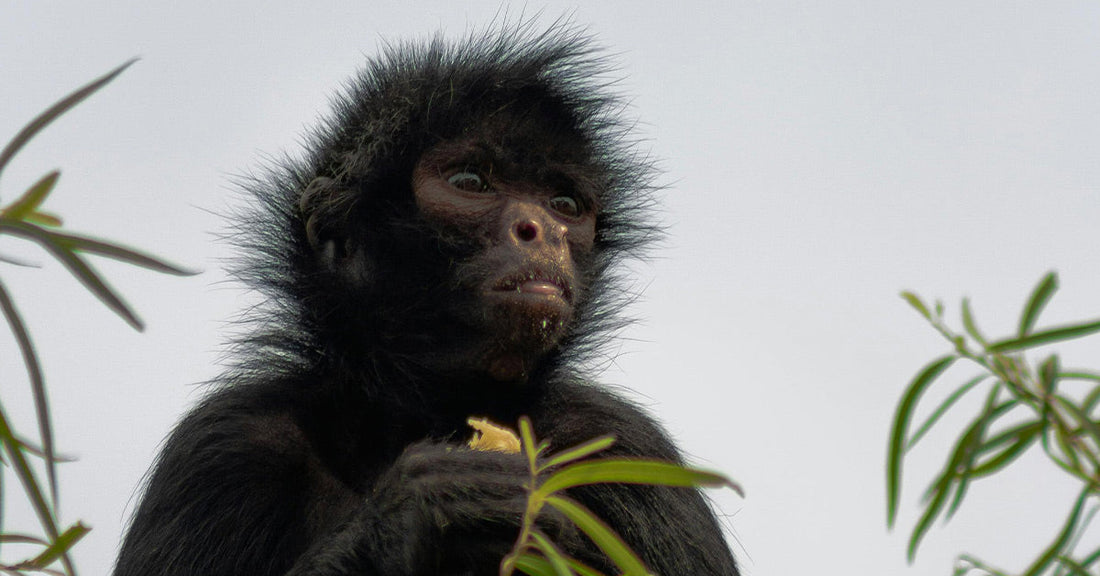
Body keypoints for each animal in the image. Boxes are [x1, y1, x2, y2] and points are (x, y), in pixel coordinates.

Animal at [113, 21, 740, 576]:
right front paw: (419, 514)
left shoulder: (620, 441)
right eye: (470, 183)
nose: (540, 229)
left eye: (565, 205)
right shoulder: (225, 441)